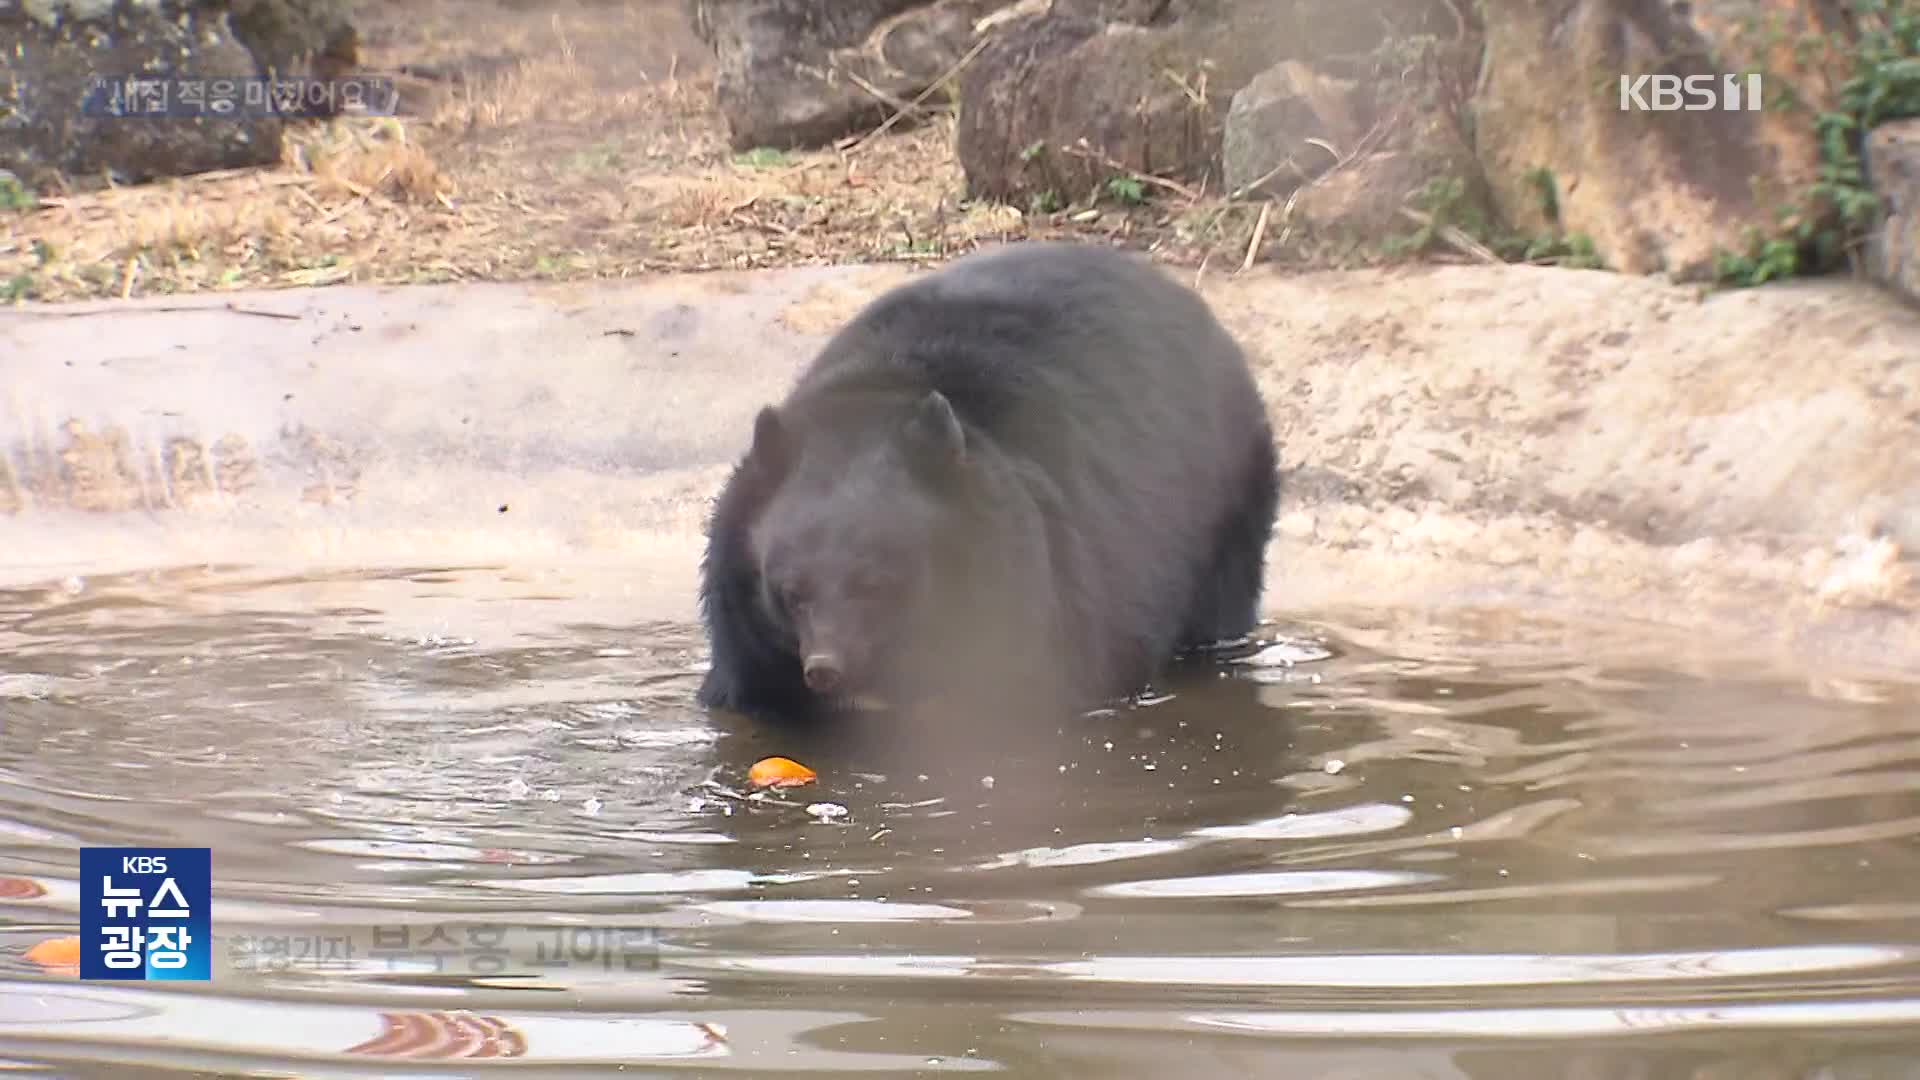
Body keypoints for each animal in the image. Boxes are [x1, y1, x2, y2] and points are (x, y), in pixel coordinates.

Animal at [691, 239, 1274, 718]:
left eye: (876, 584)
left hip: (1225, 491)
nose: (826, 668)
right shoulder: (742, 618)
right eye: (790, 592)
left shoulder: (1039, 573)